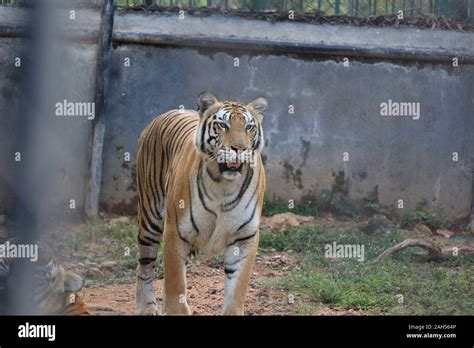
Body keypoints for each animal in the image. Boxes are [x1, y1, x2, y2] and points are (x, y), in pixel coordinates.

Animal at [136, 91, 266, 314]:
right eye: (223, 125)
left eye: (249, 127)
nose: (240, 148)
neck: (224, 186)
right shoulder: (175, 231)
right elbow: (175, 284)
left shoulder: (245, 236)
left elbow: (237, 289)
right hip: (150, 218)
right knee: (144, 265)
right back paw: (147, 307)